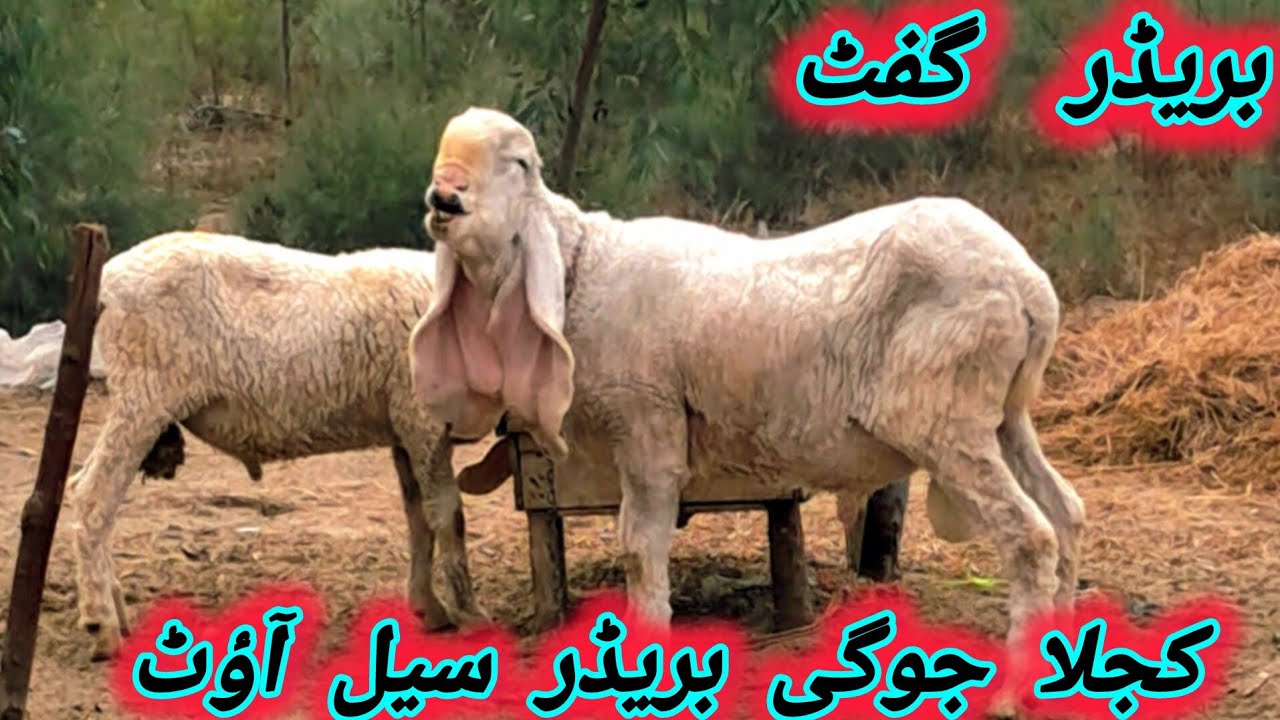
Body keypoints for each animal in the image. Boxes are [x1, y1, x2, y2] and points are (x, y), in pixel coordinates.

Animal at [70, 231, 501, 660]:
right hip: (144, 394)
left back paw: (115, 610)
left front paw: (429, 606)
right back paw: (102, 624)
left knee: (88, 490)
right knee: (93, 496)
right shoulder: (424, 421)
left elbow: (418, 518)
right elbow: (448, 516)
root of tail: (109, 279)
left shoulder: (405, 429)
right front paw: (472, 615)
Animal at [407, 107, 1086, 711]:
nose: (443, 197)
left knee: (1030, 536)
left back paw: (1011, 695)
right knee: (1066, 512)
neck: (582, 268)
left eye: (519, 163)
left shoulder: (649, 427)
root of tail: (1031, 286)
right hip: (1001, 416)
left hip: (943, 414)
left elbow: (640, 551)